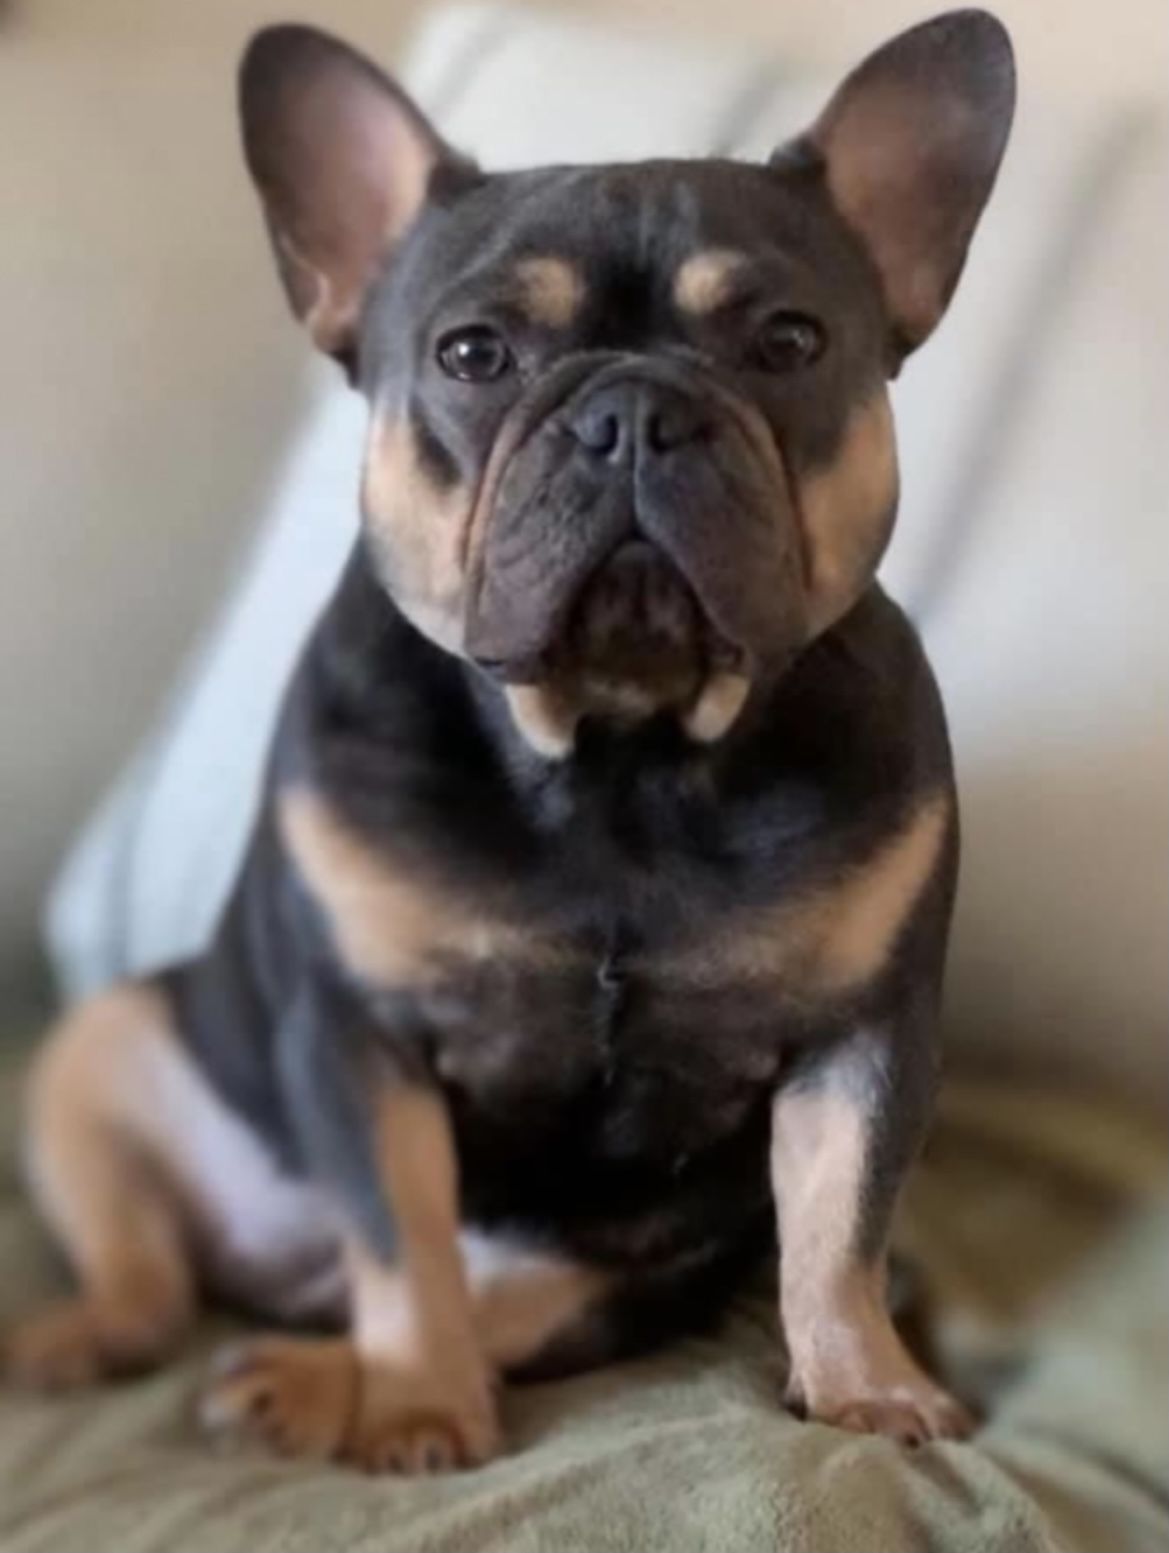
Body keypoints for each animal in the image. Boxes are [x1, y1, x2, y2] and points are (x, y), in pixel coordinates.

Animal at [5, 11, 1015, 1472]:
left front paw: (863, 1387)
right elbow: (402, 1238)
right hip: (102, 1050)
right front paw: (418, 1405)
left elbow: (840, 1224)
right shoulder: (361, 1038)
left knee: (508, 1301)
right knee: (161, 1272)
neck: (617, 756)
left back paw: (303, 1376)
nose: (637, 410)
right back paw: (140, 1342)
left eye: (787, 340)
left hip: (625, 1266)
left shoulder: (864, 1037)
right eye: (473, 355)